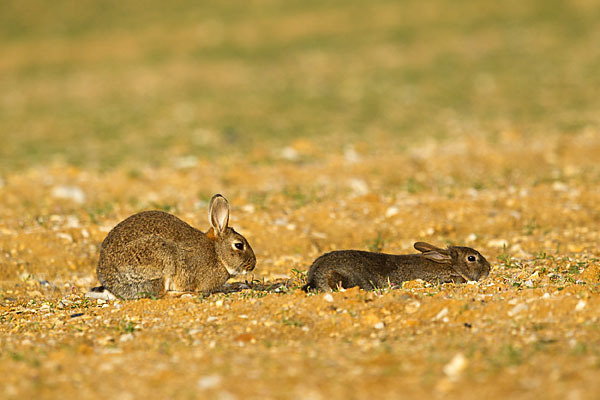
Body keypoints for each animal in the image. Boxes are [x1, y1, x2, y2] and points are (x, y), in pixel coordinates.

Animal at [89, 194, 255, 300]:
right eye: (239, 245)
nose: (253, 265)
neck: (217, 253)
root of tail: (110, 284)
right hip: (160, 262)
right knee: (160, 294)